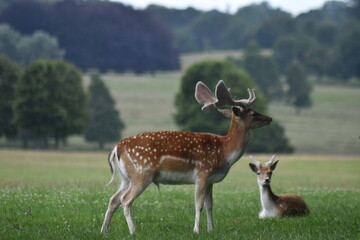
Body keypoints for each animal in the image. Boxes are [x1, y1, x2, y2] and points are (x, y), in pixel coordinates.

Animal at [100, 79, 272, 233]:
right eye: (253, 113)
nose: (269, 118)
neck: (224, 152)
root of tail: (117, 147)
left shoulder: (210, 180)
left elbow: (210, 205)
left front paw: (211, 230)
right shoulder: (202, 173)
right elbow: (199, 204)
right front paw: (196, 230)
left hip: (126, 177)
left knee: (113, 199)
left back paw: (104, 230)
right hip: (142, 173)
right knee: (125, 200)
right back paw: (133, 231)